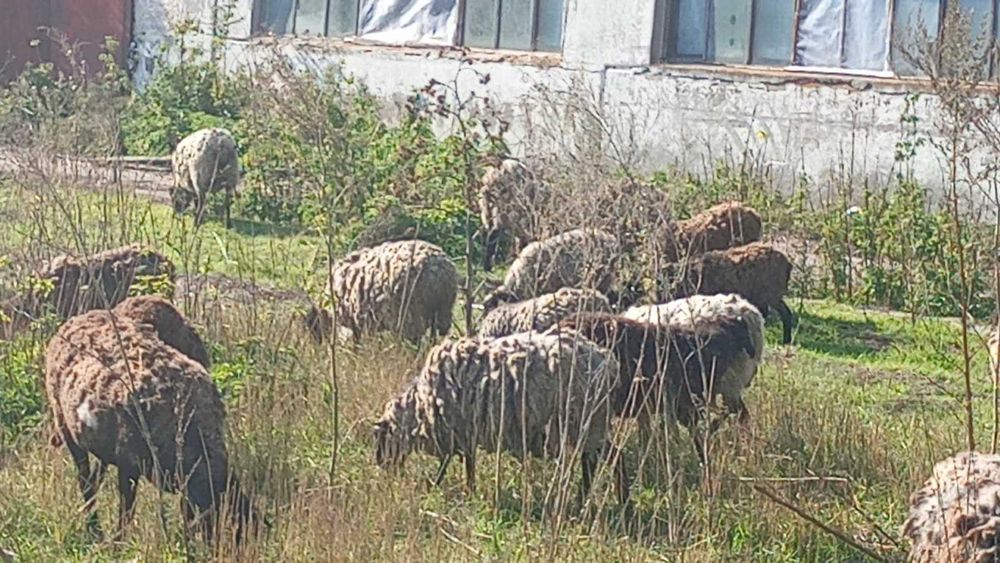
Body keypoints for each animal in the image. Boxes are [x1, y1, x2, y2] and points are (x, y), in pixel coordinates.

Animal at [44, 297, 258, 543]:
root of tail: (80, 317)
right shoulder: (128, 462)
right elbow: (126, 508)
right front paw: (118, 542)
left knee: (96, 474)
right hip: (65, 425)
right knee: (85, 481)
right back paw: (93, 528)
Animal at [373, 330, 628, 504]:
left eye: (381, 441)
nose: (382, 468)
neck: (421, 406)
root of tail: (608, 362)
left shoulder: (457, 429)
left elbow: (455, 464)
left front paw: (449, 489)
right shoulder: (464, 432)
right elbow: (465, 463)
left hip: (585, 422)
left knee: (598, 461)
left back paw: (596, 499)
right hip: (592, 424)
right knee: (606, 457)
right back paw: (609, 500)